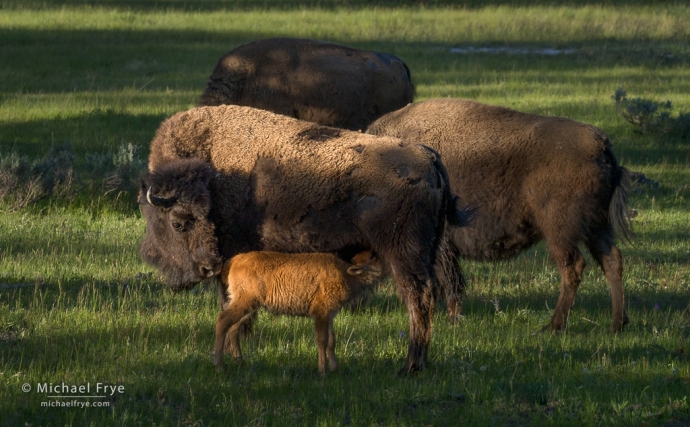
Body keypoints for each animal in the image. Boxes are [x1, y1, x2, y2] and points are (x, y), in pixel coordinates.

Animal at [139, 104, 468, 374]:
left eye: (179, 222)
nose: (208, 266)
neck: (215, 174)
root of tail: (430, 158)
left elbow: (233, 310)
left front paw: (237, 356)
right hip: (430, 249)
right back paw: (420, 362)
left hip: (404, 255)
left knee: (419, 299)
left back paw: (410, 365)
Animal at [368, 98, 632, 332]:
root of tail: (602, 147)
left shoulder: (441, 246)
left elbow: (449, 282)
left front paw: (452, 319)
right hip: (597, 228)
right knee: (611, 260)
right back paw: (616, 324)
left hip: (560, 232)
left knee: (573, 267)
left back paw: (554, 326)